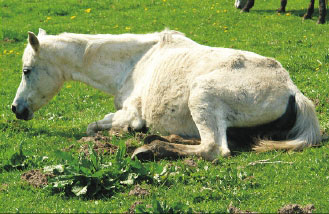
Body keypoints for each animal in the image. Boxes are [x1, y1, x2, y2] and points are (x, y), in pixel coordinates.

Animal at [12, 28, 320, 160]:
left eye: (27, 70)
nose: (16, 109)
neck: (136, 62)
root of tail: (293, 91)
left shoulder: (130, 113)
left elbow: (94, 126)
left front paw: (128, 133)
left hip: (202, 96)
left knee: (213, 148)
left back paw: (151, 148)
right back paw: (164, 138)